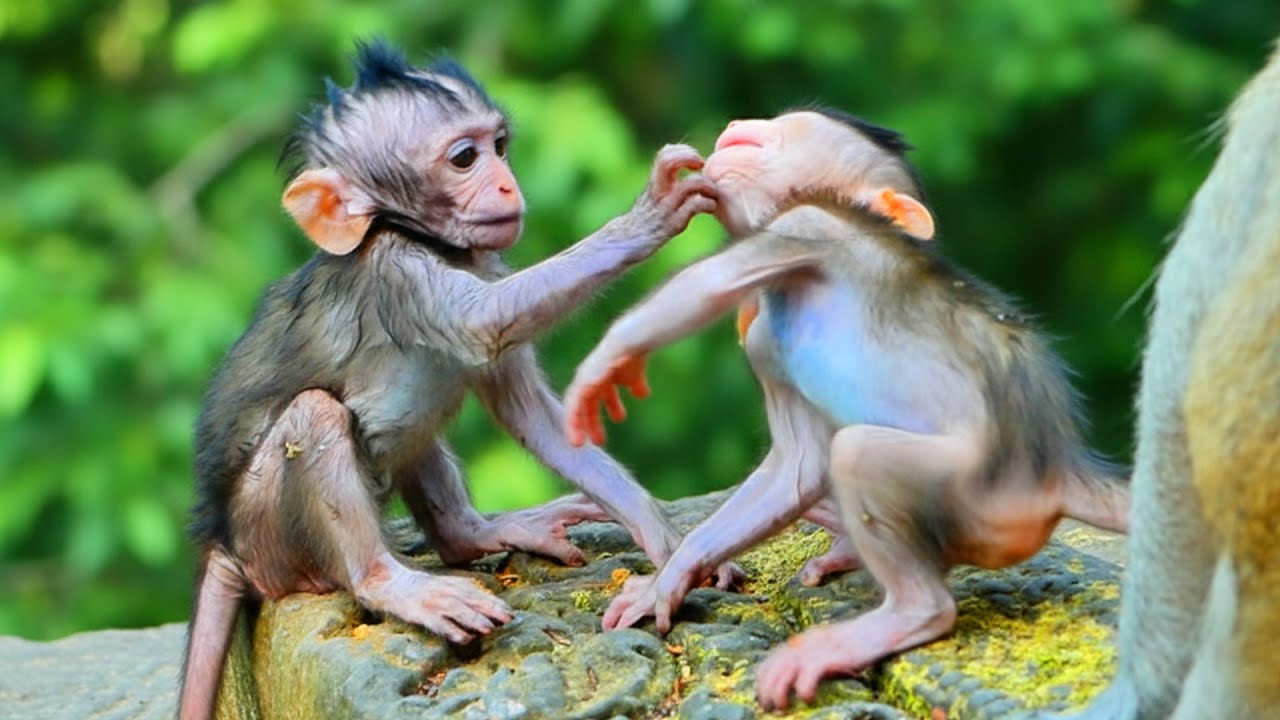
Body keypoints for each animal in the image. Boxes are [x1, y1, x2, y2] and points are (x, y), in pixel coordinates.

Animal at [178, 42, 722, 720]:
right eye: (465, 158)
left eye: (500, 145)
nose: (508, 183)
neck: (417, 236)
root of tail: (223, 541)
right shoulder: (394, 273)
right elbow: (483, 322)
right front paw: (651, 213)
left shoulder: (483, 260)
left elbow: (531, 414)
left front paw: (665, 543)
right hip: (269, 537)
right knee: (316, 415)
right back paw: (391, 584)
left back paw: (473, 534)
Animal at [563, 108, 1130, 711]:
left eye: (788, 130)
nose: (739, 125)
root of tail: (1059, 466)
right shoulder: (763, 339)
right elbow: (797, 466)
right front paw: (666, 582)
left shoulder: (810, 223)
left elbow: (711, 283)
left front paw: (606, 361)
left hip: (983, 494)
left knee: (859, 455)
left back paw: (899, 617)